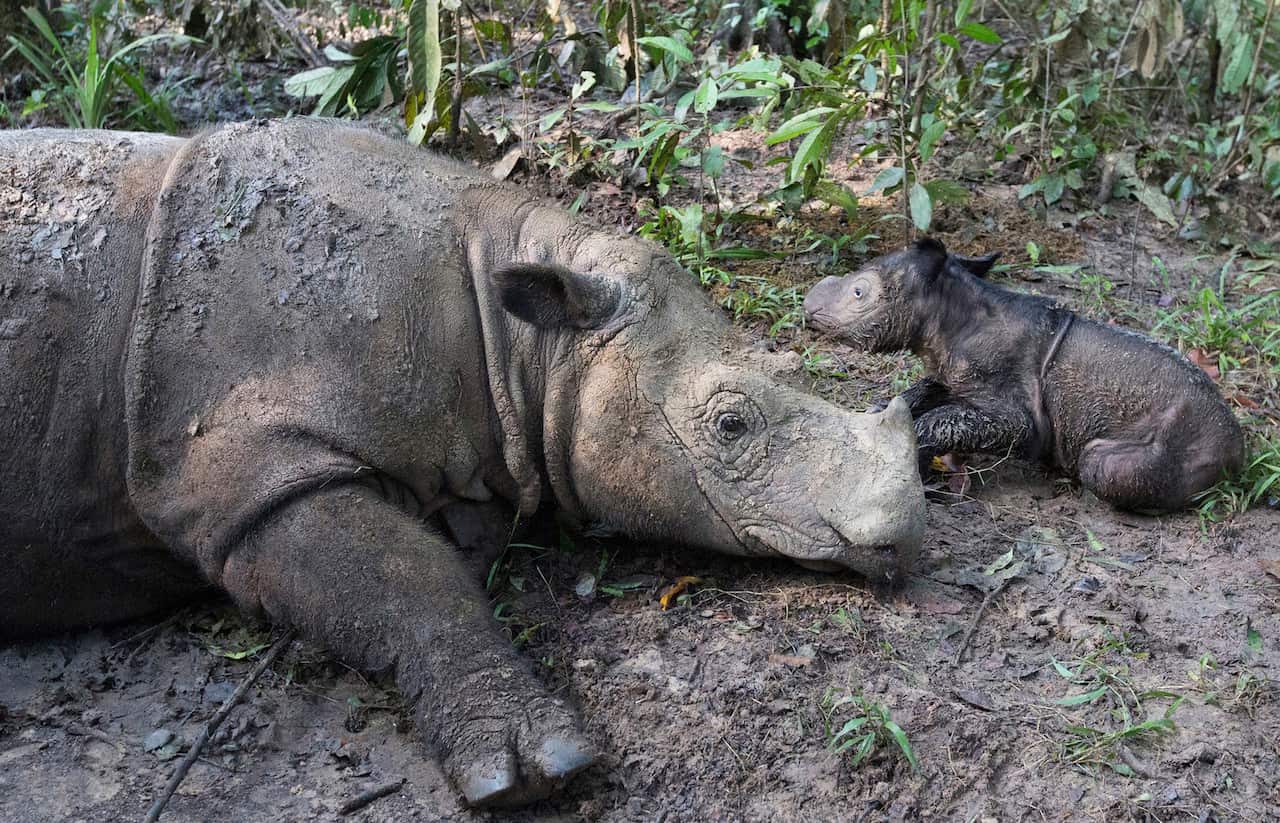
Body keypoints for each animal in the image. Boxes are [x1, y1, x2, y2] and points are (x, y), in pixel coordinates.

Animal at [0, 120, 925, 807]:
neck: (520, 337)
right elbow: (405, 576)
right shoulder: (242, 478)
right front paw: (536, 767)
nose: (904, 523)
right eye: (731, 425)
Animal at [803, 238, 1245, 512]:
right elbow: (925, 391)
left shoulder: (1021, 419)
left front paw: (912, 458)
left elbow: (941, 420)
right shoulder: (952, 375)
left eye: (859, 293)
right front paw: (879, 413)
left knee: (1100, 467)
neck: (947, 312)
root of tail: (1238, 449)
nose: (807, 306)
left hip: (1173, 443)